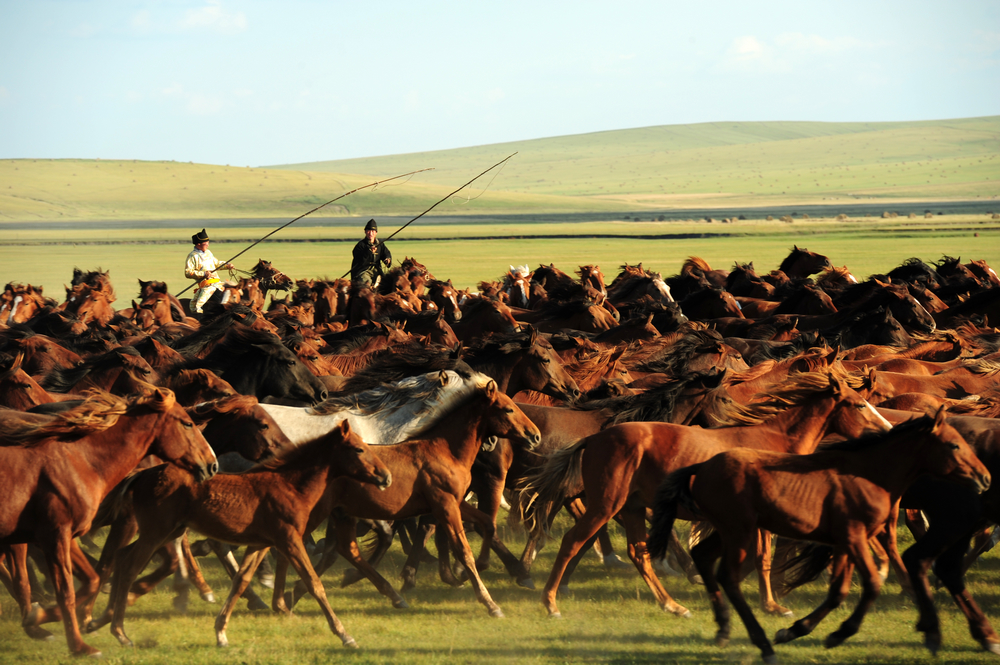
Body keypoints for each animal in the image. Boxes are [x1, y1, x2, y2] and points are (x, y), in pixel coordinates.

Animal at [0, 390, 217, 652]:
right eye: (187, 424)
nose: (213, 465)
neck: (85, 460)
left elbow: (113, 570)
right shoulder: (122, 522)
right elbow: (100, 569)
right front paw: (89, 621)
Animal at [103, 420, 388, 648]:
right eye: (359, 449)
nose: (386, 476)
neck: (290, 485)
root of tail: (142, 474)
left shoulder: (260, 544)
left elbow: (241, 580)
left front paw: (221, 634)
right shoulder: (289, 539)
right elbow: (314, 583)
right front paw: (345, 635)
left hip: (167, 531)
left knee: (121, 556)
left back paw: (101, 619)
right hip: (156, 532)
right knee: (129, 567)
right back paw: (120, 633)